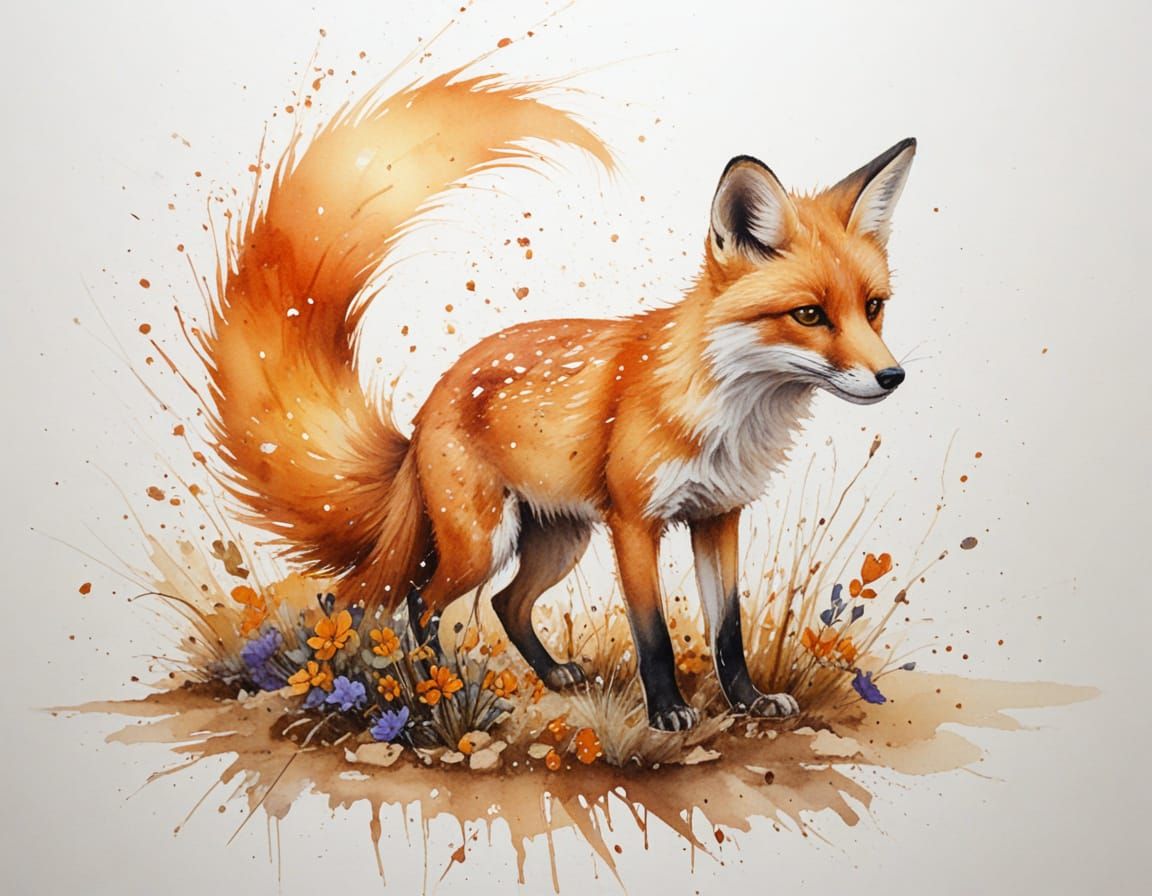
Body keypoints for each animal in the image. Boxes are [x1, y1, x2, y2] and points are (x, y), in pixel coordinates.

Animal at [204, 70, 916, 731]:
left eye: (873, 307)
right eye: (809, 314)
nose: (893, 377)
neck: (728, 414)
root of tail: (429, 402)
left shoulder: (718, 516)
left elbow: (728, 631)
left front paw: (748, 701)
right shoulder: (634, 522)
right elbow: (653, 633)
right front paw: (667, 711)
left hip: (559, 539)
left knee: (505, 604)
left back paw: (548, 675)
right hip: (483, 542)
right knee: (421, 602)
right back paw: (438, 688)